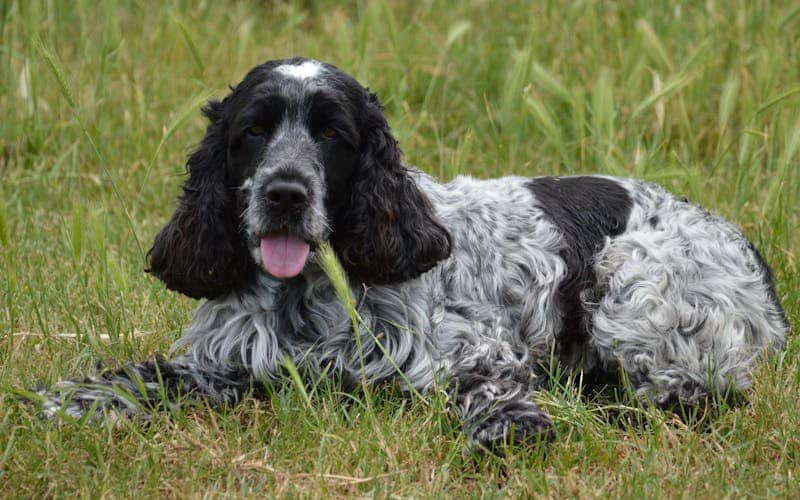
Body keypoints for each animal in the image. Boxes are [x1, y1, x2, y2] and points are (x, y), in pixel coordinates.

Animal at [37, 56, 788, 452]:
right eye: (252, 131)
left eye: (333, 135)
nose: (284, 193)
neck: (310, 294)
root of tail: (747, 248)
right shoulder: (226, 361)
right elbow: (148, 373)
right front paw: (78, 398)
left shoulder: (470, 347)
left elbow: (491, 384)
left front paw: (512, 427)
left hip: (632, 283)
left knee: (689, 395)